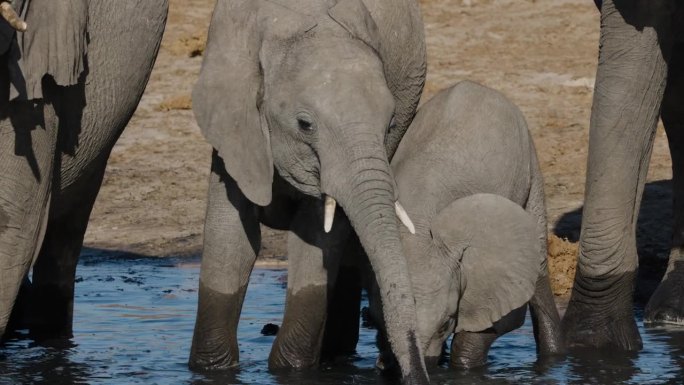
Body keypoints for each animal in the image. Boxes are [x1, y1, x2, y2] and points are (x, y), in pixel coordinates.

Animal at [187, 0, 428, 380]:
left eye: (389, 124)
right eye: (305, 124)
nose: (416, 372)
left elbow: (316, 241)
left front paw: (290, 370)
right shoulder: (234, 124)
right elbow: (232, 240)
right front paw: (212, 369)